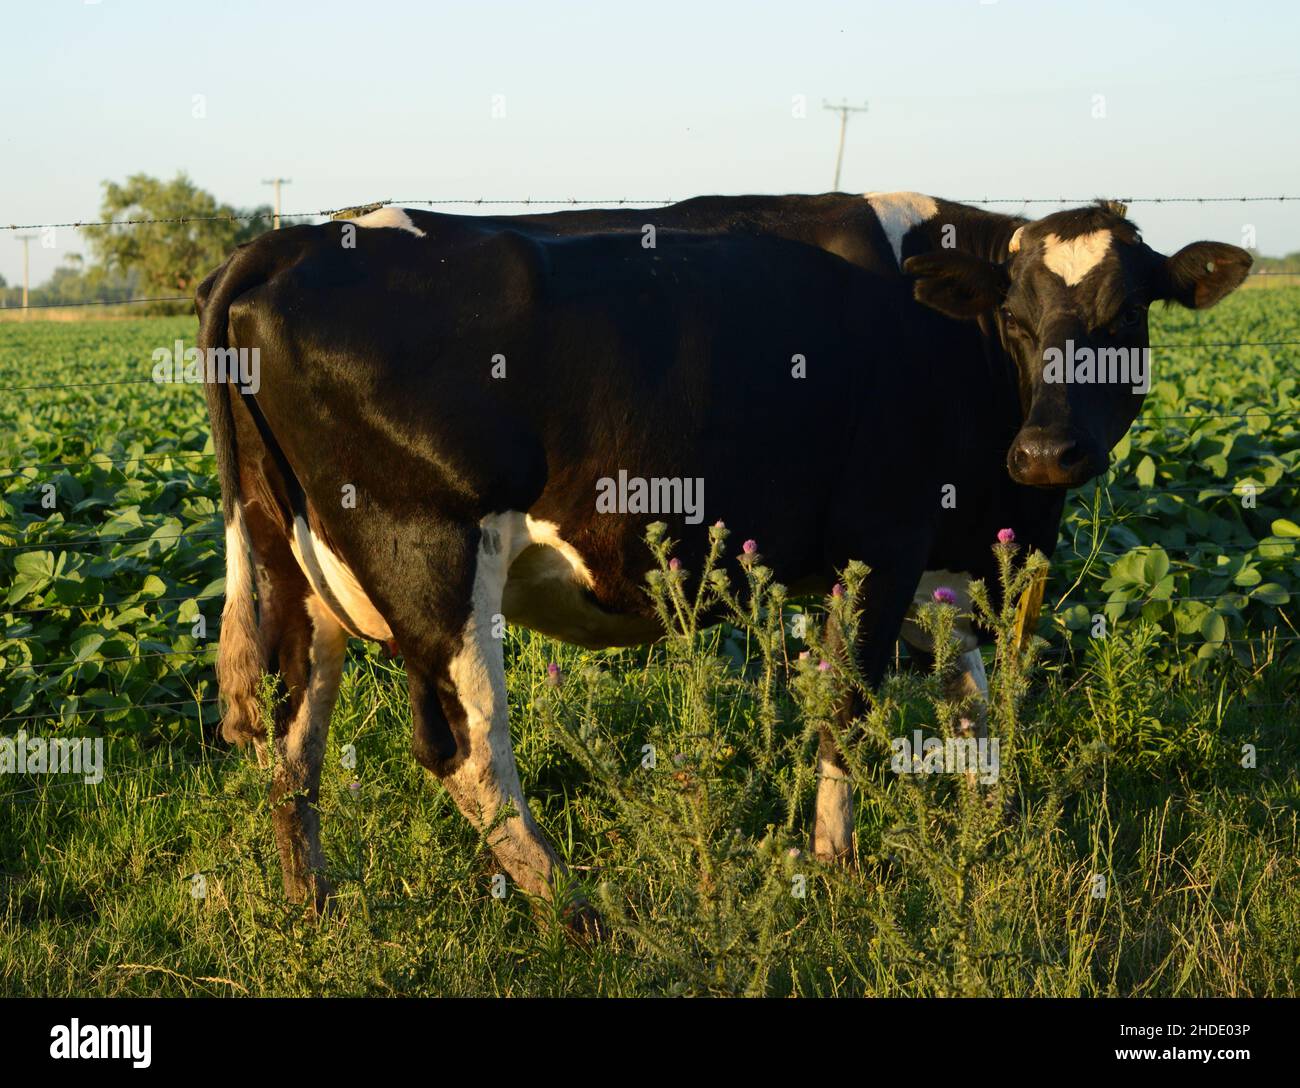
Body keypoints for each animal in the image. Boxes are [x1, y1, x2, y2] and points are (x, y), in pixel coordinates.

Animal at [195, 193, 1250, 923]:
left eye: (1126, 317)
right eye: (1024, 320)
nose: (1045, 452)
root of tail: (289, 241)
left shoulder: (949, 559)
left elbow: (970, 705)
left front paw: (990, 826)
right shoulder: (883, 540)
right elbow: (849, 710)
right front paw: (834, 868)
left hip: (297, 564)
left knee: (291, 742)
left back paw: (315, 906)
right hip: (428, 554)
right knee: (468, 751)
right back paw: (578, 912)